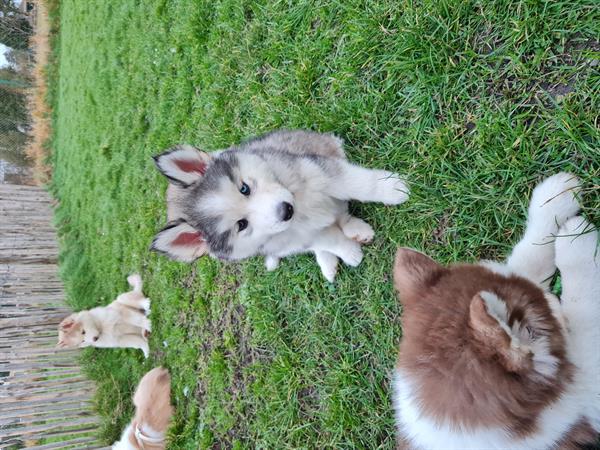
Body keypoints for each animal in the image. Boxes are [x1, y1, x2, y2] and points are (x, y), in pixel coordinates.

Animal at [152, 128, 410, 280]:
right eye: (241, 225)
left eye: (244, 188)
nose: (286, 210)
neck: (302, 206)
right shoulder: (301, 237)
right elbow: (330, 241)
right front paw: (349, 252)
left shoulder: (320, 172)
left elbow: (359, 184)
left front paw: (393, 189)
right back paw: (330, 262)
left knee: (341, 212)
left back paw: (356, 230)